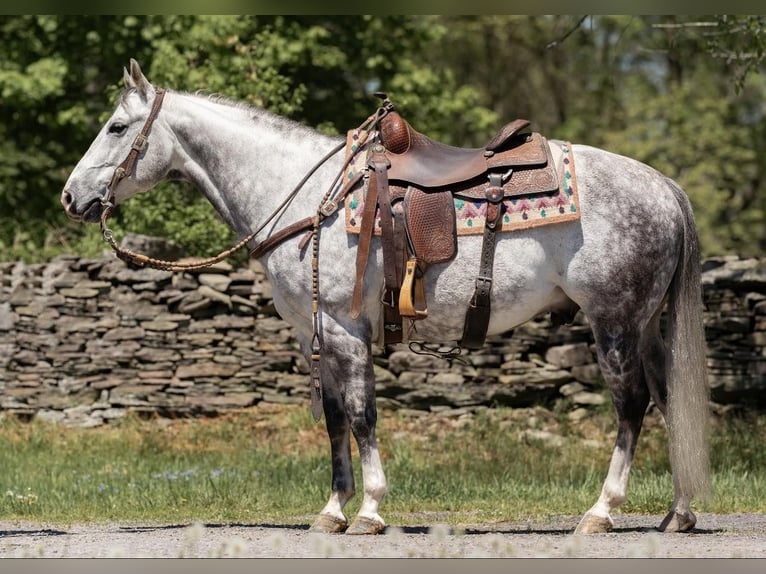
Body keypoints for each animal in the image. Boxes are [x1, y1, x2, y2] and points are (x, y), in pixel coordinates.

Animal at [63, 60, 712, 536]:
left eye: (116, 128)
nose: (71, 197)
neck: (305, 196)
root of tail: (664, 187)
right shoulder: (316, 333)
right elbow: (333, 418)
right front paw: (332, 511)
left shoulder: (345, 329)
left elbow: (361, 414)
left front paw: (371, 511)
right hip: (644, 327)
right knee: (668, 397)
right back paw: (677, 514)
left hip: (614, 323)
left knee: (632, 405)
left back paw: (601, 512)